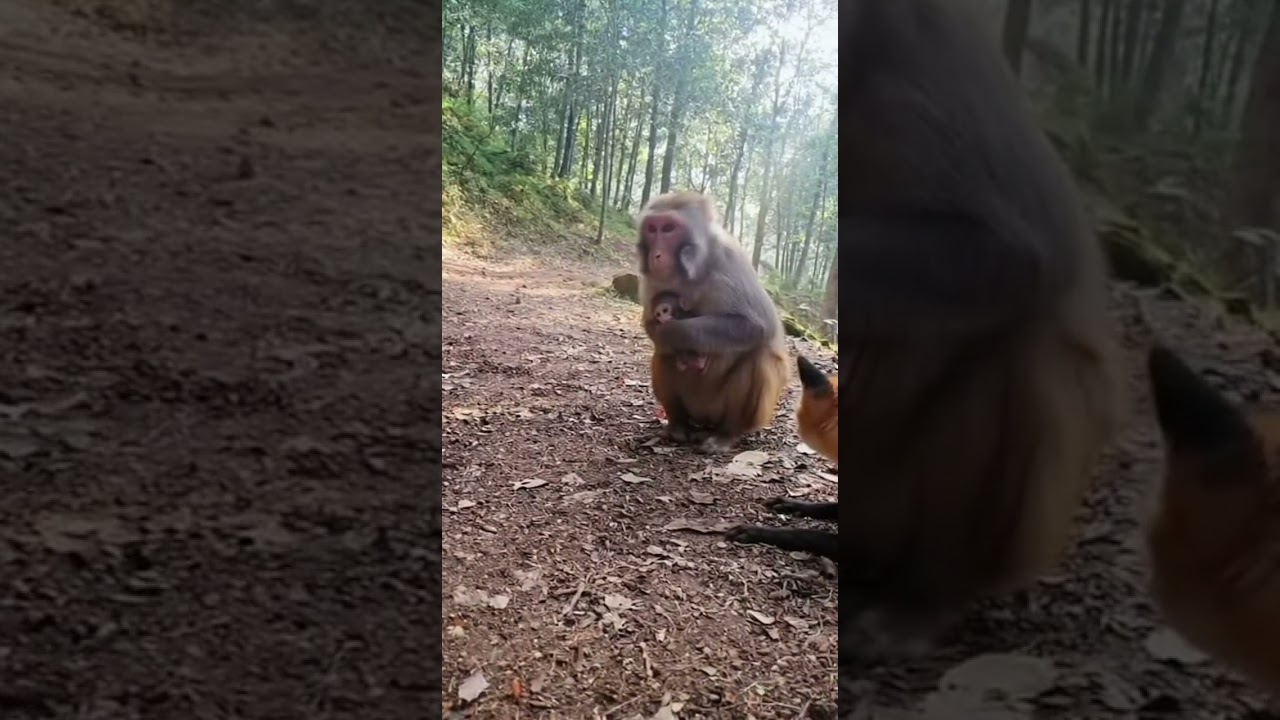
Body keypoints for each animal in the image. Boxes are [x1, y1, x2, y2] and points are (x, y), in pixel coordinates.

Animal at [637, 190, 791, 453]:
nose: (655, 255)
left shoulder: (730, 259)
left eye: (668, 228)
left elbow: (758, 326)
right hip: (694, 405)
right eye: (652, 228)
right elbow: (650, 325)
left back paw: (726, 434)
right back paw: (678, 425)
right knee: (663, 355)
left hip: (726, 409)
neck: (694, 271)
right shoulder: (652, 280)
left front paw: (673, 332)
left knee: (759, 358)